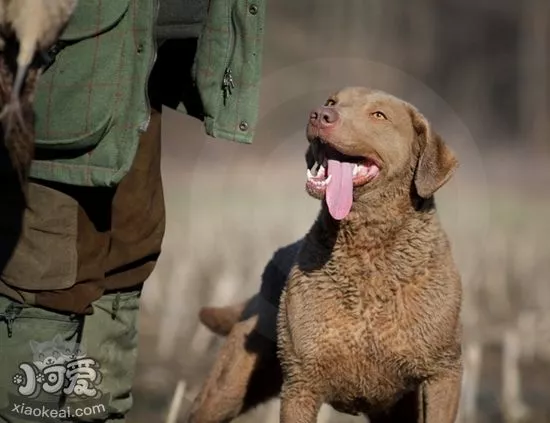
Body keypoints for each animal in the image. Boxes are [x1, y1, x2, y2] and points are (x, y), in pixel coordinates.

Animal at [188, 87, 464, 423]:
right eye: (332, 102)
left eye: (379, 115)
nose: (320, 115)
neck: (368, 252)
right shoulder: (302, 382)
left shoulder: (442, 372)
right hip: (228, 385)